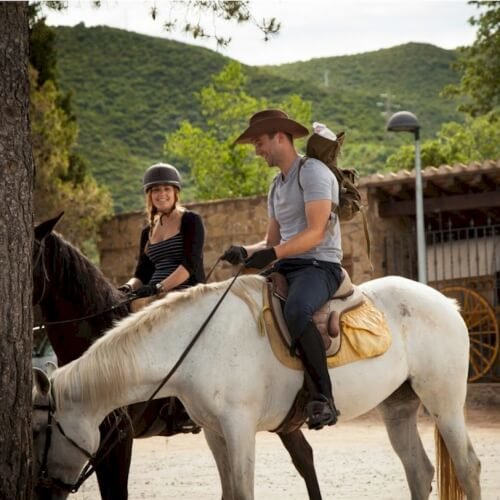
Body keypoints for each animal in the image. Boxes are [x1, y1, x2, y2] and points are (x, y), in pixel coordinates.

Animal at [31, 276, 480, 498]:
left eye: (39, 431)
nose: (44, 491)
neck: (195, 343)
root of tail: (445, 302)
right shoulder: (214, 433)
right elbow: (229, 493)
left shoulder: (239, 429)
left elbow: (244, 492)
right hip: (398, 408)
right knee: (419, 472)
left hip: (444, 404)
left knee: (467, 468)